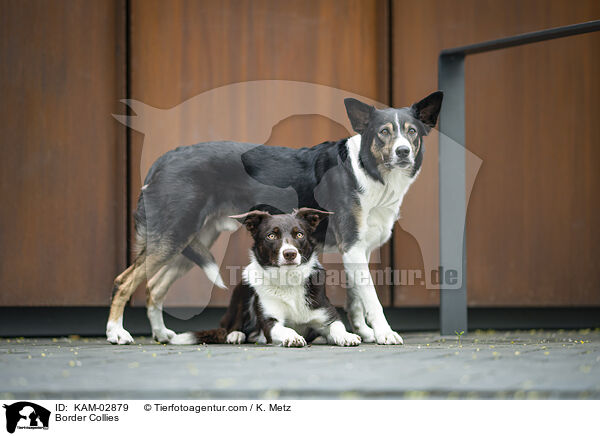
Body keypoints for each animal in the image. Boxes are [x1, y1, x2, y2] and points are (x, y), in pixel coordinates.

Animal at [171, 209, 364, 350]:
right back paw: (236, 335)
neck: (288, 280)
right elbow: (283, 328)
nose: (290, 253)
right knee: (232, 325)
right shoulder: (270, 322)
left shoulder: (327, 314)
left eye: (299, 234)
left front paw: (346, 335)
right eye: (271, 236)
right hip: (243, 291)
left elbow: (337, 325)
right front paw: (293, 336)